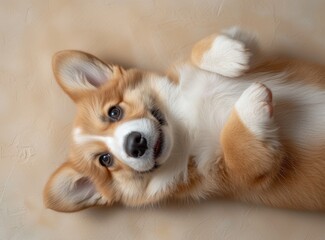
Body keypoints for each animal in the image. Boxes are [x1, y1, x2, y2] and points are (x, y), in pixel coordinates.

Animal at [43, 28, 324, 212]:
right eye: (105, 160)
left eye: (114, 112)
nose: (135, 143)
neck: (185, 125)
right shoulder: (247, 171)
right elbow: (237, 145)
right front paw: (251, 103)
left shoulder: (258, 60)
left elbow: (203, 50)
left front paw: (229, 54)